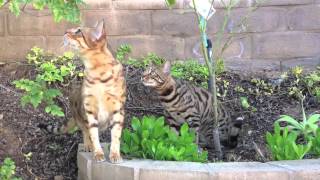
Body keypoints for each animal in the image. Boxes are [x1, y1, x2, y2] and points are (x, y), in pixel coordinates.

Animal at [43, 19, 127, 163]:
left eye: (78, 31)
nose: (65, 31)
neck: (98, 75)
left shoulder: (118, 108)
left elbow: (116, 135)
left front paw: (115, 155)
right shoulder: (89, 108)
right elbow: (93, 134)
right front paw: (97, 153)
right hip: (79, 113)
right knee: (85, 130)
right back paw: (88, 146)